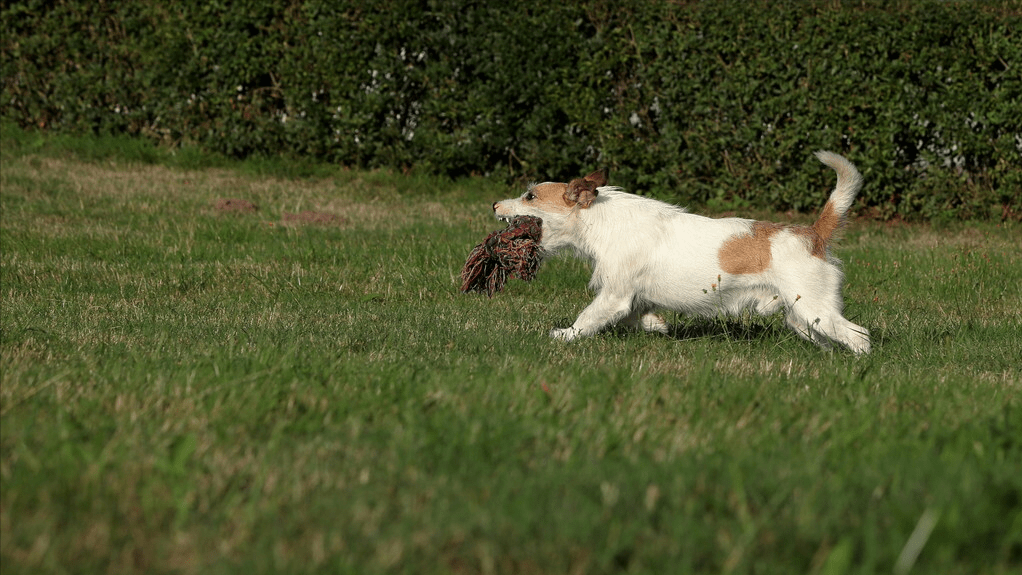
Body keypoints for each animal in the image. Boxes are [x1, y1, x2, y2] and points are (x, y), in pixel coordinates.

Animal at [492, 151, 870, 353]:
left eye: (530, 196)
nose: (494, 204)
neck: (601, 220)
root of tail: (813, 233)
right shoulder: (628, 298)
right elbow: (636, 316)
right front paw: (656, 325)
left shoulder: (614, 295)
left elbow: (588, 317)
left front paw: (565, 335)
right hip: (802, 317)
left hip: (814, 307)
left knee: (859, 336)